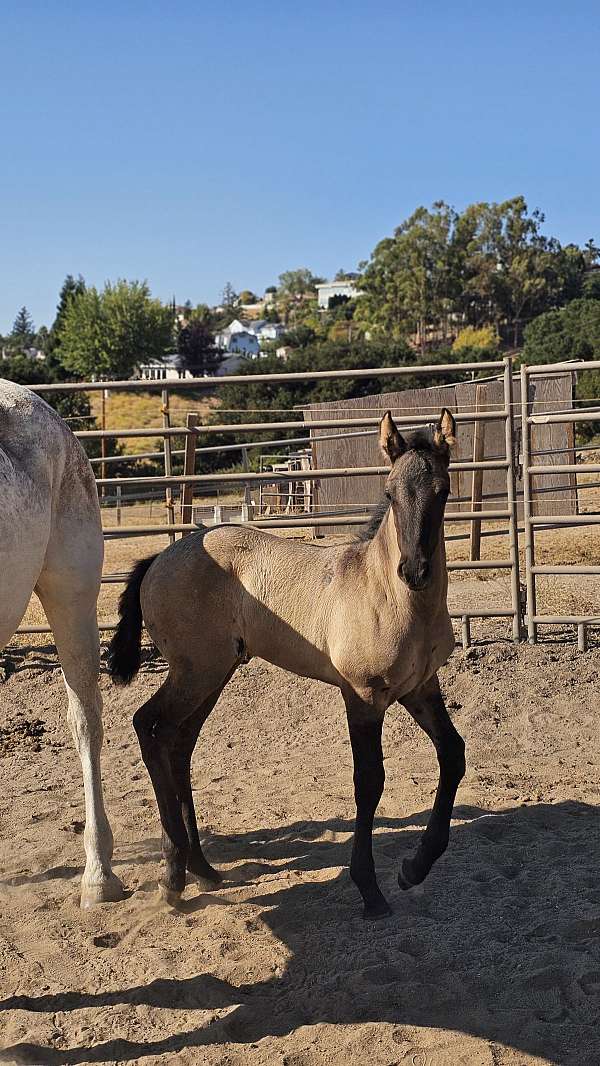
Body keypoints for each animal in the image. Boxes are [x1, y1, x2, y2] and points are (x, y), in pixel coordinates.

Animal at [108, 409, 465, 918]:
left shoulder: (421, 688)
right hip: (194, 672)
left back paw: (201, 868)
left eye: (443, 490)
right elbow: (369, 781)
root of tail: (160, 557)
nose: (414, 570)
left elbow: (453, 755)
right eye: (390, 492)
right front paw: (370, 889)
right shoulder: (362, 696)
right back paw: (174, 875)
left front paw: (414, 868)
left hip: (212, 674)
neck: (392, 598)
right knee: (149, 726)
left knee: (178, 744)